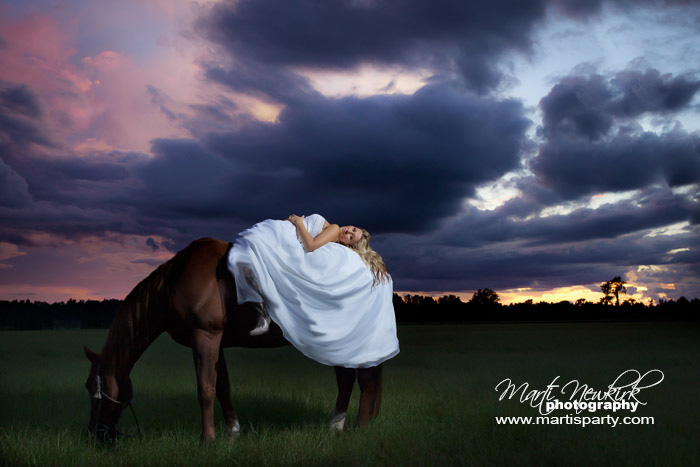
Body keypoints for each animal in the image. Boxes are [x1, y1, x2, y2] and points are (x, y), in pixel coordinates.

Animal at [86, 238, 388, 442]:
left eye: (93, 391)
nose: (96, 435)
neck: (176, 280)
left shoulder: (205, 337)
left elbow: (205, 389)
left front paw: (207, 439)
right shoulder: (213, 342)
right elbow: (222, 387)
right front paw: (232, 431)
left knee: (364, 381)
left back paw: (360, 430)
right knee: (347, 380)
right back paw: (336, 427)